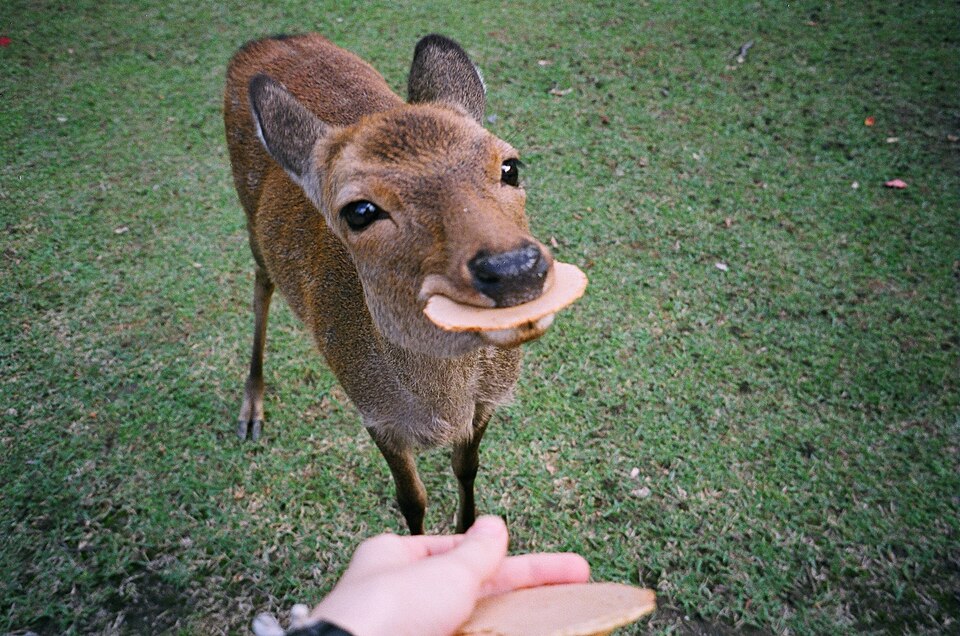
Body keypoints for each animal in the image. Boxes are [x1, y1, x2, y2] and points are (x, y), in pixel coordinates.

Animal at [223, 33, 577, 535]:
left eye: (510, 167)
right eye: (360, 211)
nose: (515, 268)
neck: (443, 407)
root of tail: (267, 39)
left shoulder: (488, 401)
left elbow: (467, 468)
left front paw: (467, 531)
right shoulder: (373, 411)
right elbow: (411, 499)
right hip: (249, 215)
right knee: (260, 285)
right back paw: (251, 409)